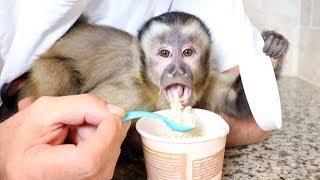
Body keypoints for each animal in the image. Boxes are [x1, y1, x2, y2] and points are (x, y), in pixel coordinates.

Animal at [1, 11, 288, 125]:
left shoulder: (205, 83)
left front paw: (274, 49)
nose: (177, 71)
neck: (150, 90)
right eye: (164, 54)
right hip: (44, 69)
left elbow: (235, 100)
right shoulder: (128, 92)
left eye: (188, 53)